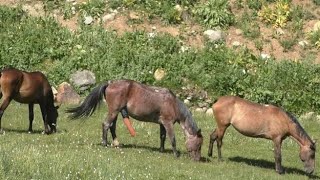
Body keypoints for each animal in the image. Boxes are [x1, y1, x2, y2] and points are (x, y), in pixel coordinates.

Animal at [67, 79, 202, 161]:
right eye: (199, 144)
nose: (197, 159)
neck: (172, 103)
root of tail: (110, 83)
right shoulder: (168, 123)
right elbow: (172, 139)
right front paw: (176, 154)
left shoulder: (162, 124)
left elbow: (163, 137)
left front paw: (162, 150)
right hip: (114, 111)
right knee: (106, 124)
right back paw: (105, 143)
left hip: (116, 112)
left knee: (112, 126)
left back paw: (116, 143)